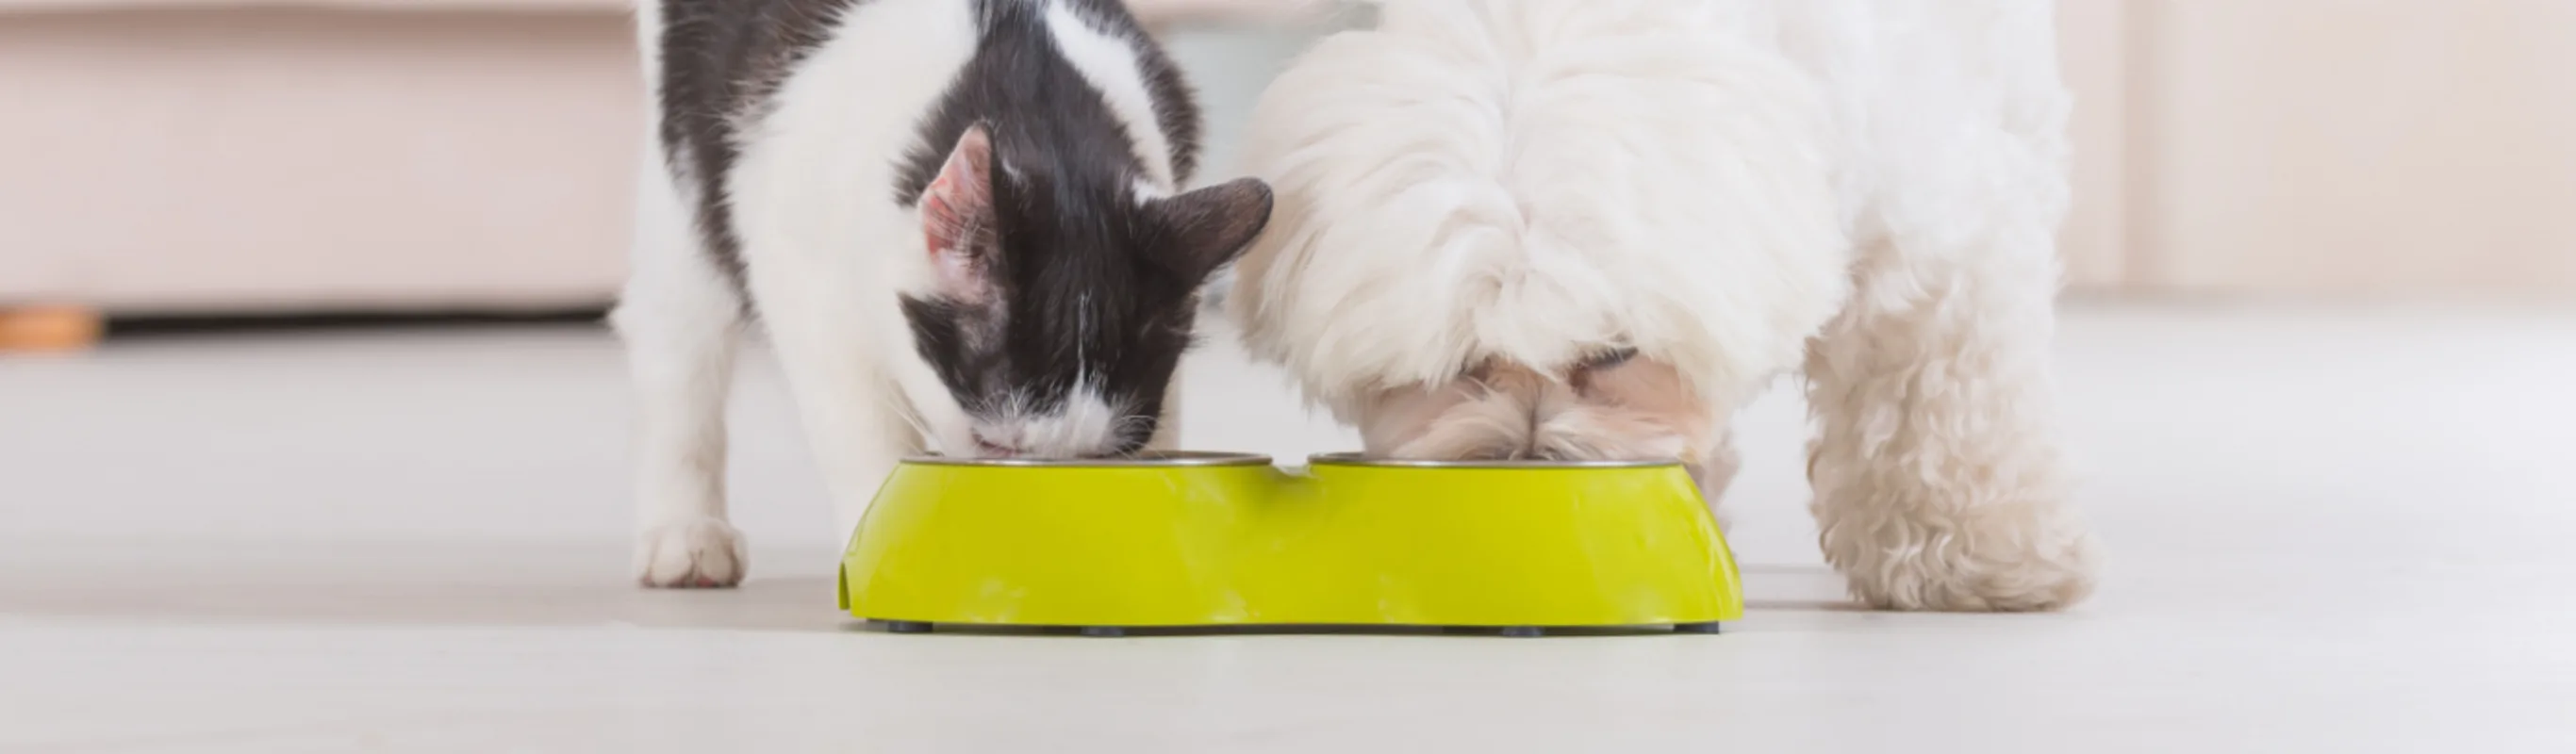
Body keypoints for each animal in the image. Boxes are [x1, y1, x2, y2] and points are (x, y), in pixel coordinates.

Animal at [615, 0, 1278, 586]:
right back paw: (685, 533)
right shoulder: (800, 269)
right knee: (678, 325)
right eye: (991, 444)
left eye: (1101, 460)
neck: (1028, 94)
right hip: (689, 161)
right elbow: (861, 428)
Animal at [1226, 0, 2091, 607]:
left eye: (1614, 353)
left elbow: (1943, 408)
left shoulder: (1933, 243)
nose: (1526, 463)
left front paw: (1979, 564)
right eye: (1462, 363)